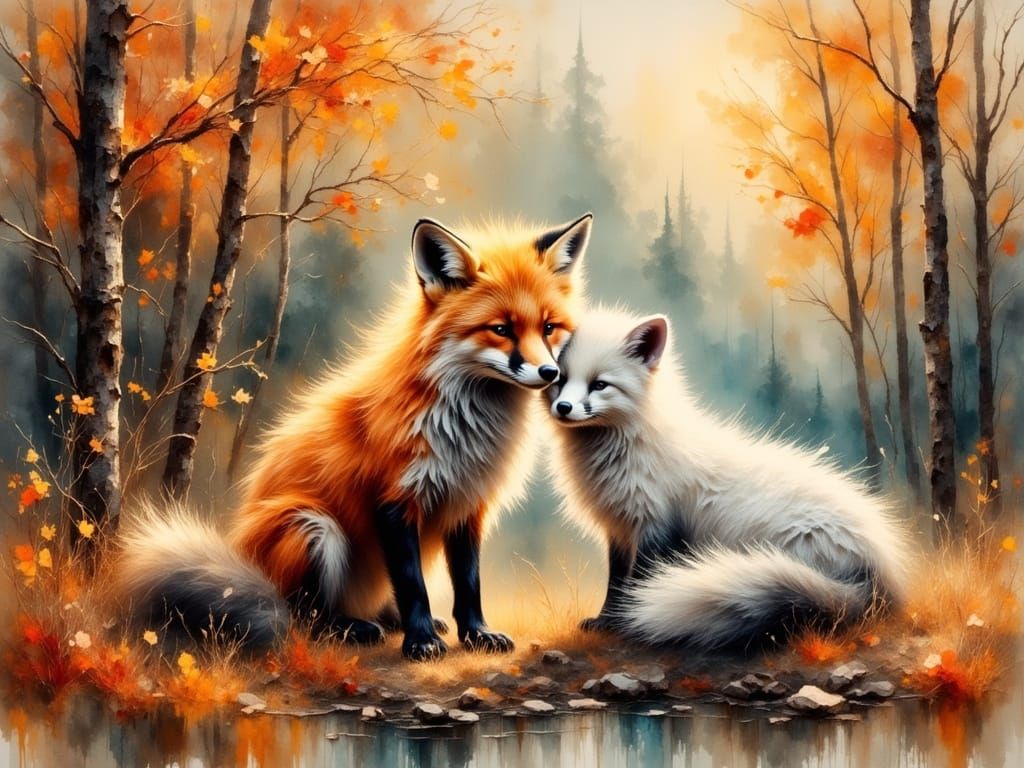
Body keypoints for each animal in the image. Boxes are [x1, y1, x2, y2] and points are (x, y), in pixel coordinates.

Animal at [117, 213, 592, 660]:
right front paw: (421, 643)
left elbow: (469, 582)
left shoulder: (467, 504)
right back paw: (352, 628)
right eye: (501, 329)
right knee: (302, 617)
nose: (549, 373)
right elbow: (413, 584)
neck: (465, 431)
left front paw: (475, 634)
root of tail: (242, 563)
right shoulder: (393, 501)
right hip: (313, 527)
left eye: (549, 327)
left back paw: (388, 619)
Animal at [545, 308, 910, 652]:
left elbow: (638, 582)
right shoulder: (620, 530)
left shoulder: (656, 527)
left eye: (599, 384)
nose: (563, 407)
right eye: (560, 380)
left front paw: (629, 623)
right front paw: (605, 622)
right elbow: (616, 583)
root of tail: (882, 572)